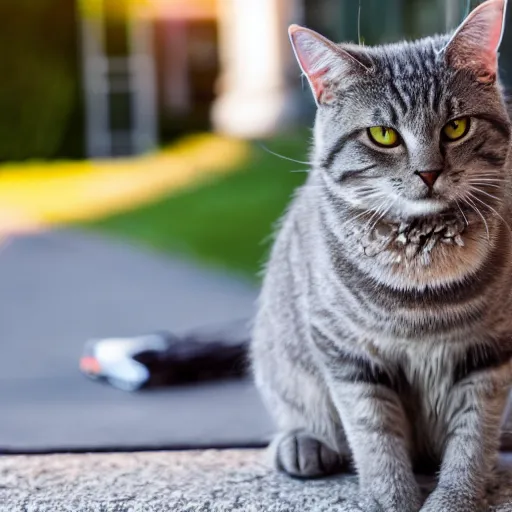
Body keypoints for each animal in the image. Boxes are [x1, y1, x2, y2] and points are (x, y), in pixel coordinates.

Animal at [254, 1, 512, 512]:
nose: (429, 173)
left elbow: (473, 437)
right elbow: (374, 435)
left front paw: (456, 497)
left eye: (456, 126)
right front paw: (390, 499)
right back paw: (302, 443)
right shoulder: (347, 353)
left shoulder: (489, 351)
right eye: (383, 135)